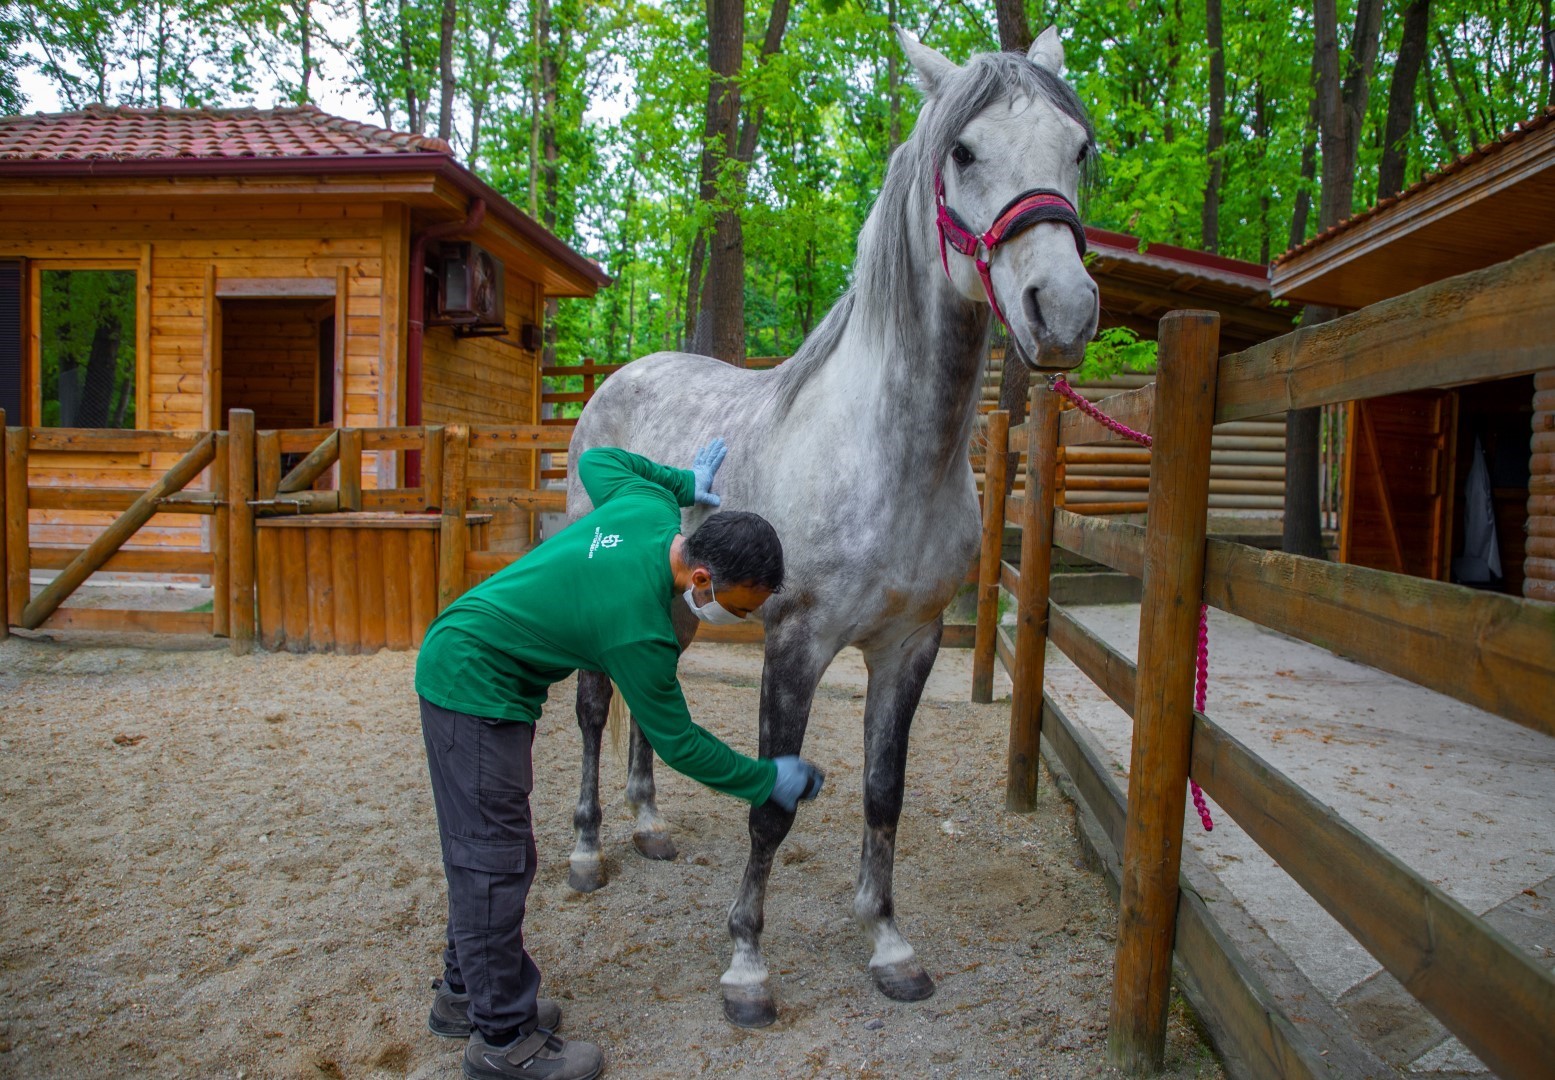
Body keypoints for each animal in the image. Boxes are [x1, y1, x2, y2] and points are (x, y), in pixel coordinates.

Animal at [566, 21, 1100, 1025]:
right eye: (963, 151)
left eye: (1079, 148)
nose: (1064, 310)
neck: (886, 455)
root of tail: (617, 380)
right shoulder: (797, 643)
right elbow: (772, 805)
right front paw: (745, 965)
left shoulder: (909, 645)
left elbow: (884, 793)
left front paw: (887, 944)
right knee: (589, 709)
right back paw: (585, 849)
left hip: (675, 606)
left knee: (645, 704)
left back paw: (649, 826)